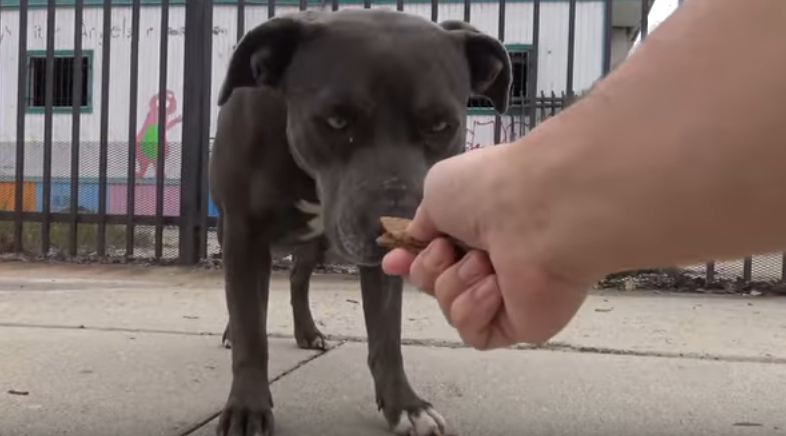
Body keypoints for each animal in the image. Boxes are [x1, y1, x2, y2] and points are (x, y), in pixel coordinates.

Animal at [208, 9, 512, 436]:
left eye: (440, 125)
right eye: (336, 120)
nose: (402, 223)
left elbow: (386, 335)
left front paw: (405, 405)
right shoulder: (244, 233)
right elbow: (251, 326)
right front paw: (247, 408)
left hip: (314, 248)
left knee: (298, 280)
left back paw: (308, 332)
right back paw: (233, 334)